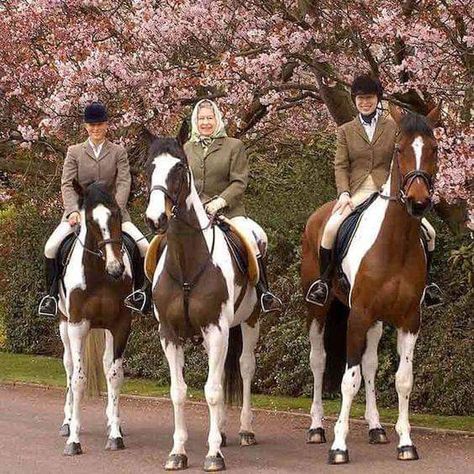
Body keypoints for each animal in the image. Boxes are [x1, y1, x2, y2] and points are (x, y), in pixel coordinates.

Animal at [59, 181, 133, 456]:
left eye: (117, 215)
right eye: (90, 220)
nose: (116, 269)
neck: (100, 276)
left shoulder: (121, 325)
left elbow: (114, 374)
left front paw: (115, 435)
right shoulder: (77, 326)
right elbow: (78, 380)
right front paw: (74, 441)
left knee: (105, 363)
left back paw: (114, 421)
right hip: (64, 325)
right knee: (69, 367)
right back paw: (67, 422)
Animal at [145, 137, 262, 470]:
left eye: (179, 167)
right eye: (149, 167)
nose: (155, 219)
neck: (187, 260)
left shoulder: (216, 328)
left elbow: (211, 391)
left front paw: (213, 455)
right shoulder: (169, 334)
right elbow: (178, 392)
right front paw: (178, 452)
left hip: (249, 322)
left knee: (245, 368)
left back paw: (245, 430)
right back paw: (220, 431)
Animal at [302, 106, 438, 462]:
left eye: (434, 149)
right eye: (400, 149)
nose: (418, 201)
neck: (395, 242)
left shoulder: (409, 320)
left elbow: (402, 379)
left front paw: (406, 442)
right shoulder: (358, 315)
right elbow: (348, 380)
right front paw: (339, 445)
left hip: (377, 320)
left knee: (370, 365)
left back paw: (376, 428)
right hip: (319, 310)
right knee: (319, 360)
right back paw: (317, 428)